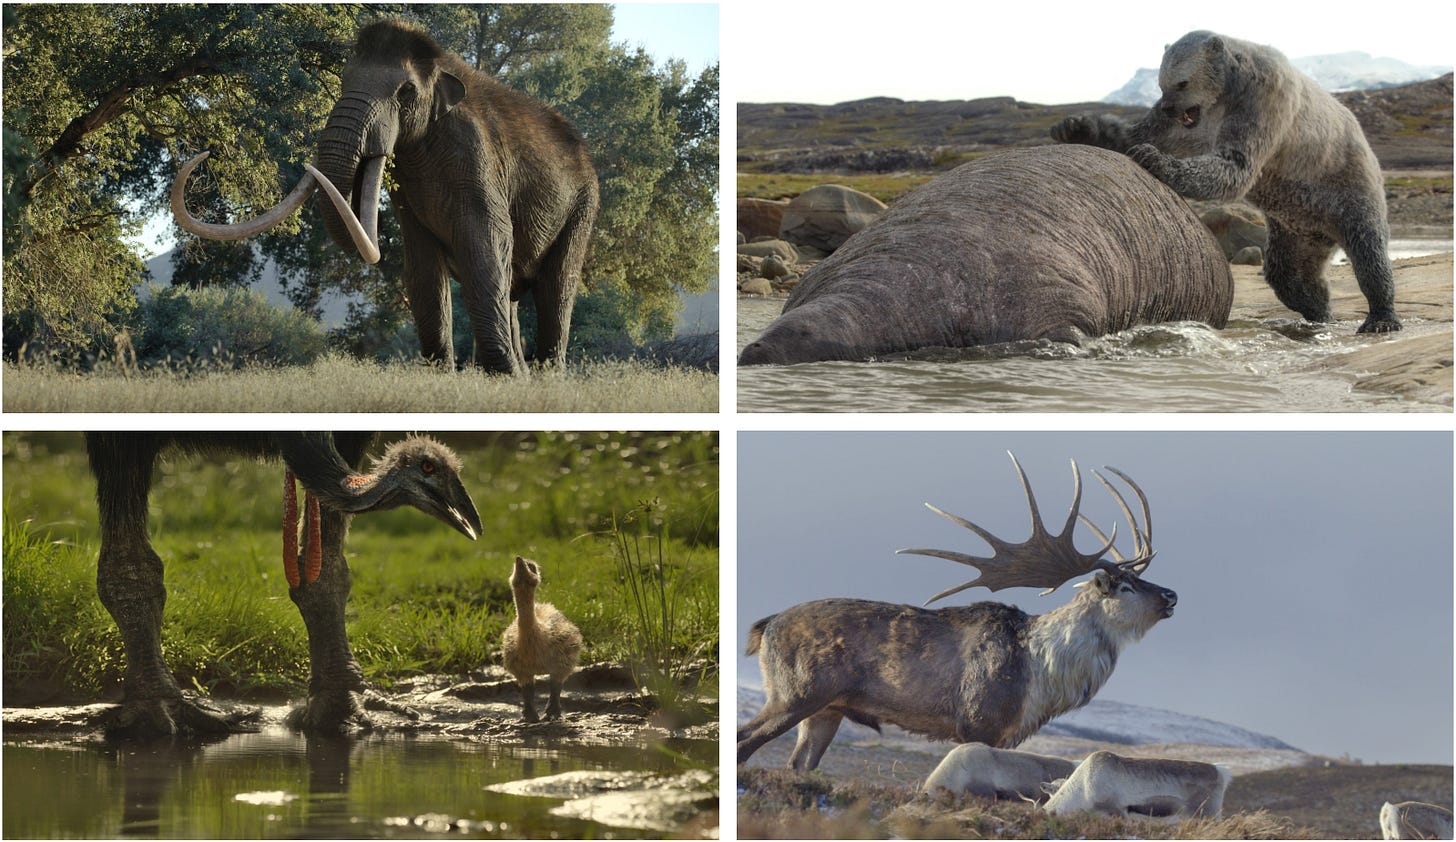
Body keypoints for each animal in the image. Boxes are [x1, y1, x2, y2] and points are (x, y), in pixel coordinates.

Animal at [172, 19, 599, 374]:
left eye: (405, 92)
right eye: (343, 81)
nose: (208, 153)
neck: (442, 65)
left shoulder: (478, 158)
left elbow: (487, 246)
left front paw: (500, 377)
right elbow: (422, 267)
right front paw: (445, 377)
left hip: (584, 204)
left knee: (556, 288)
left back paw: (543, 377)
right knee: (514, 291)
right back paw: (524, 378)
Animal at [737, 452, 1177, 771]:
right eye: (1125, 586)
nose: (1172, 595)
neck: (1042, 677)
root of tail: (765, 627)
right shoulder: (978, 720)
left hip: (826, 709)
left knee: (798, 765)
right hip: (795, 692)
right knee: (745, 741)